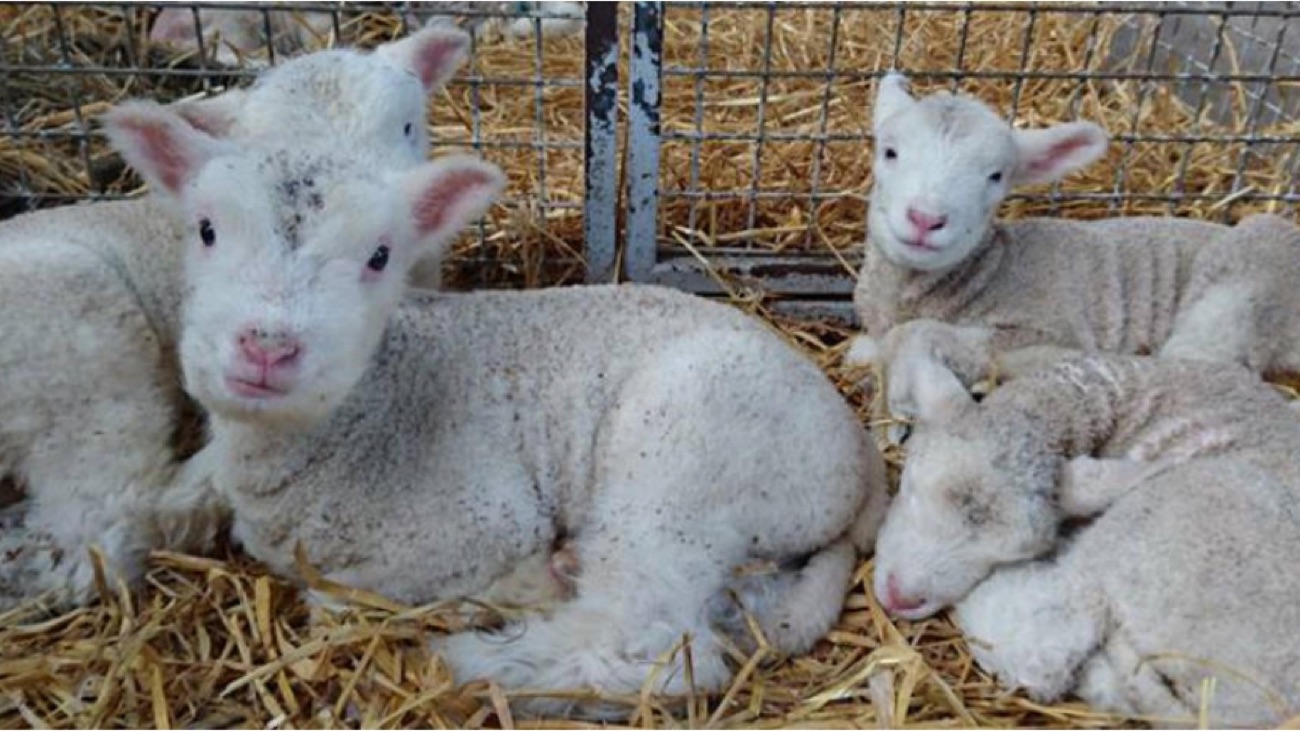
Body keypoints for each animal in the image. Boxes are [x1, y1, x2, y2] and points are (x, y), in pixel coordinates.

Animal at [103, 103, 891, 718]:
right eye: (205, 229)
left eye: (380, 255)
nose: (267, 347)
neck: (372, 416)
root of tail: (858, 458)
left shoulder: (482, 519)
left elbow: (351, 594)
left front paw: (508, 589)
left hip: (684, 459)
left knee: (653, 646)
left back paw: (477, 659)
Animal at [850, 72, 1300, 419]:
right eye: (889, 152)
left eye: (996, 176)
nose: (926, 219)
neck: (986, 270)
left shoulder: (1046, 329)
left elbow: (919, 333)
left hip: (1249, 276)